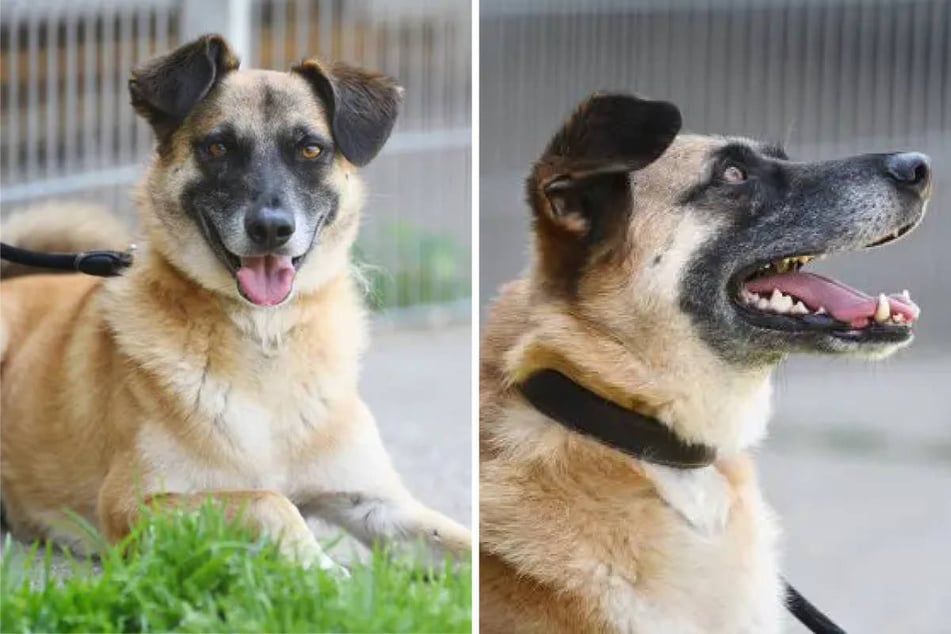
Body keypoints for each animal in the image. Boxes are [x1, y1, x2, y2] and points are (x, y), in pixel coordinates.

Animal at [0, 33, 472, 568]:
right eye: (217, 147)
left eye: (310, 148)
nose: (271, 228)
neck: (267, 341)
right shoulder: (132, 506)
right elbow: (270, 502)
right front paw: (323, 570)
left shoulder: (380, 502)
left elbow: (462, 540)